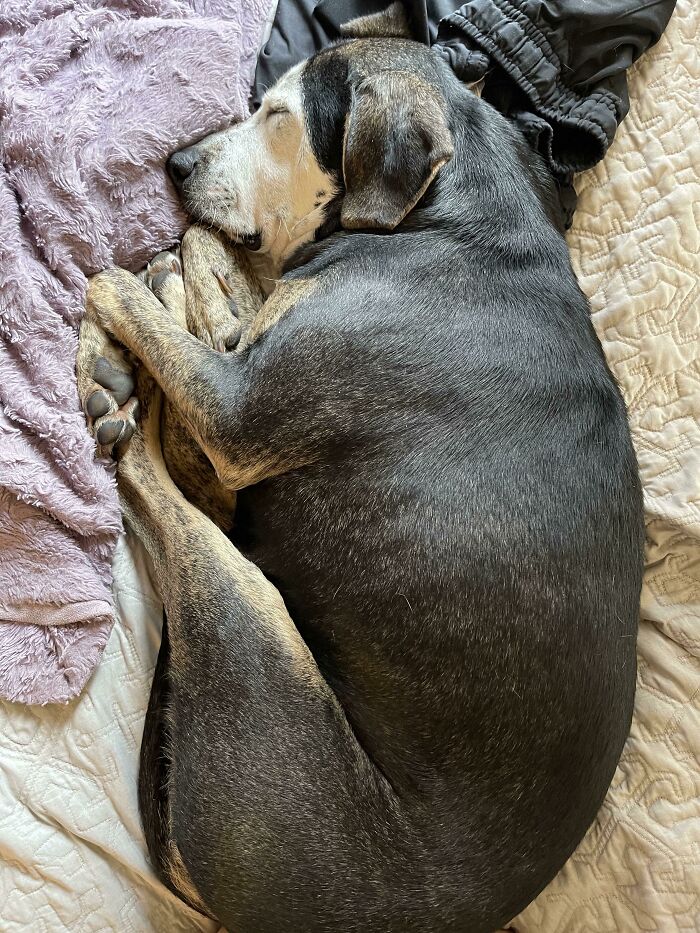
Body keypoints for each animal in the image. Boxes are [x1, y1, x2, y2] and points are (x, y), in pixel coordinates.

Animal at [78, 29, 644, 932]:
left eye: (276, 115)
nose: (176, 162)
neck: (454, 216)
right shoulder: (244, 376)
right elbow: (214, 298)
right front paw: (185, 280)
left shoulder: (240, 413)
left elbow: (153, 304)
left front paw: (133, 288)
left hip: (252, 620)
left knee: (163, 483)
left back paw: (120, 385)